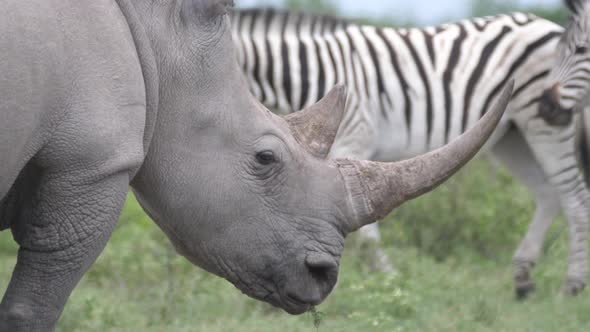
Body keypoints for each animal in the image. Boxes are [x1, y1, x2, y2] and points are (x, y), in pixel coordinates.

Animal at [229, 5, 588, 296]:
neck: (307, 73)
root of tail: (545, 24)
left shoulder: (351, 141)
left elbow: (362, 229)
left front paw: (387, 279)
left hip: (544, 124)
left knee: (575, 197)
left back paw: (571, 285)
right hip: (509, 137)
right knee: (548, 193)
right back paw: (523, 279)